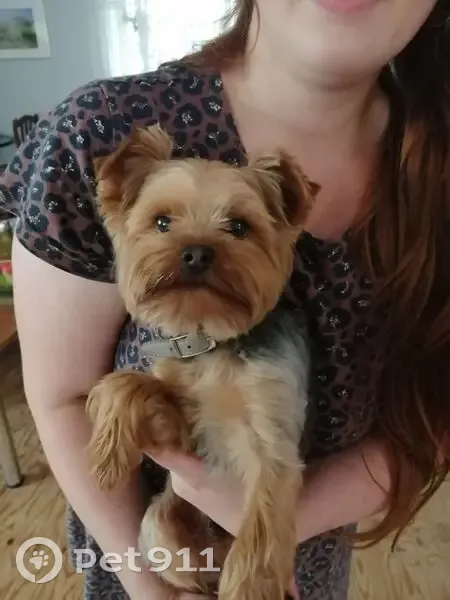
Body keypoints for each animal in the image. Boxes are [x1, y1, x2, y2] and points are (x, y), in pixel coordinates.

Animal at [86, 124, 318, 600]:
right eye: (162, 222)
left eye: (239, 227)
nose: (195, 252)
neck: (213, 341)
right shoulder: (187, 437)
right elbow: (131, 383)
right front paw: (108, 449)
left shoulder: (273, 439)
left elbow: (261, 531)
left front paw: (248, 588)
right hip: (161, 526)